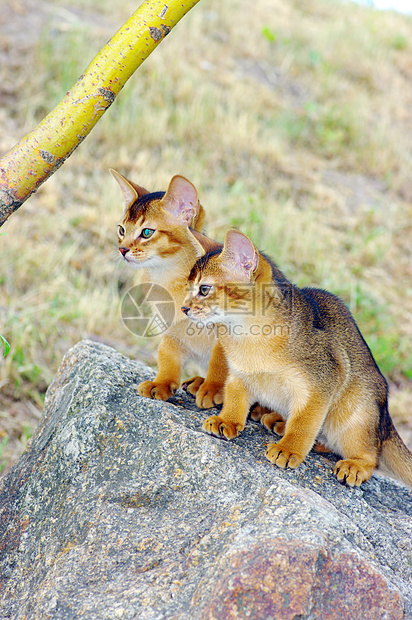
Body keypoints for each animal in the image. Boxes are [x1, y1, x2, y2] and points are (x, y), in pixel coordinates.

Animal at [111, 170, 227, 412]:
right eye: (121, 230)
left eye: (147, 232)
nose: (122, 249)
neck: (169, 281)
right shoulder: (169, 329)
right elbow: (167, 355)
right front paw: (161, 384)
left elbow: (220, 361)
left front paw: (213, 389)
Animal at [183, 229, 412, 490]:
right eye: (188, 286)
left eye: (204, 289)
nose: (184, 308)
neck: (247, 338)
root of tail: (384, 420)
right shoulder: (239, 375)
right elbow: (234, 400)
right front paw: (227, 421)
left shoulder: (323, 379)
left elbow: (304, 422)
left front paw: (289, 449)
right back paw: (278, 420)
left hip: (356, 410)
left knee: (370, 455)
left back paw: (354, 464)